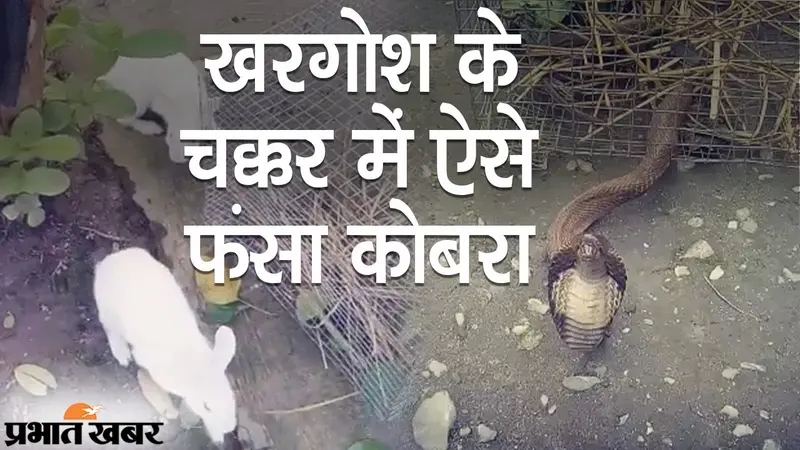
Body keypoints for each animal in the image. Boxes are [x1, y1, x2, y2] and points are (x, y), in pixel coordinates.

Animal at [92, 246, 238, 445]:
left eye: (232, 397)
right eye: (207, 406)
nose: (229, 428)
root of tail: (109, 261)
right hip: (109, 312)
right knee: (111, 330)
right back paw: (122, 355)